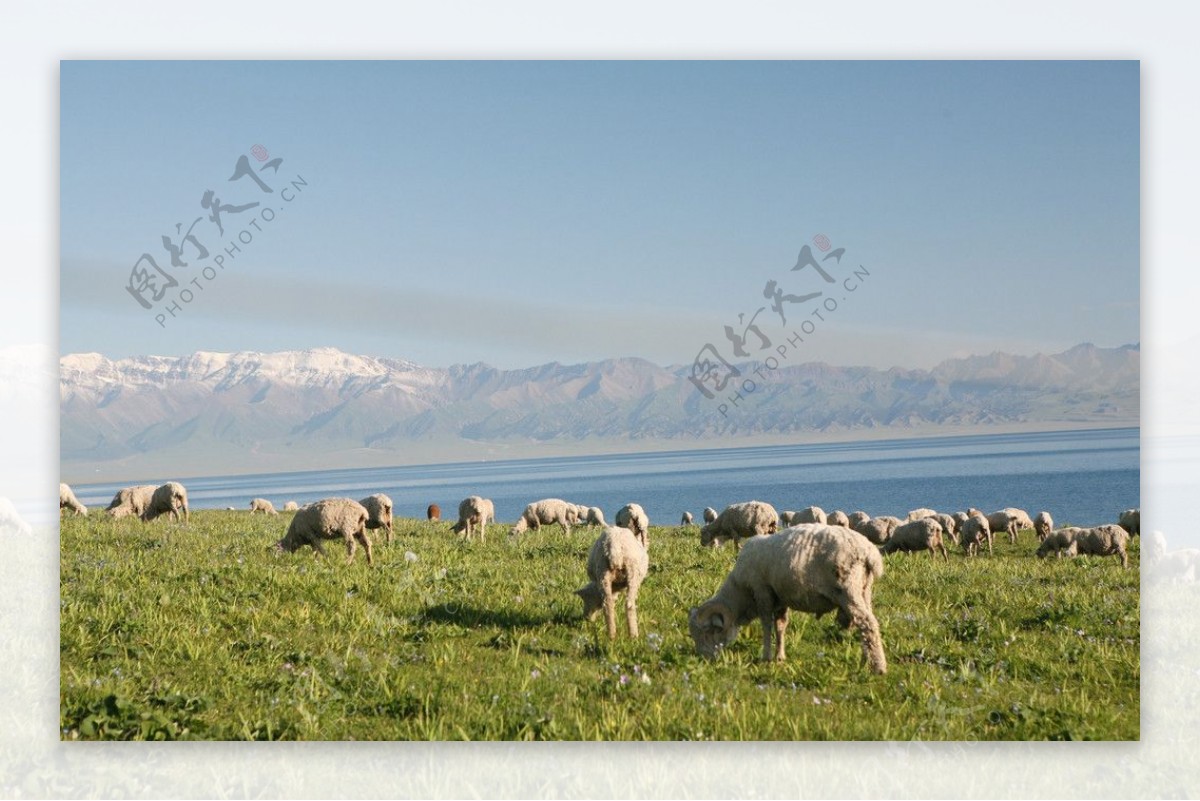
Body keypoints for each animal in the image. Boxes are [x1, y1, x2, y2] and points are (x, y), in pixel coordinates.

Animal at [691, 522, 888, 671]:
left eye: (707, 632)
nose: (703, 659)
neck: (741, 590)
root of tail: (869, 553)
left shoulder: (762, 591)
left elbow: (766, 625)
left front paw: (766, 656)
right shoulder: (780, 598)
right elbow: (780, 626)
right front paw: (780, 657)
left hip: (848, 589)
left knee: (867, 623)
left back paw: (878, 667)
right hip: (864, 589)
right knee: (867, 624)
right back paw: (866, 660)